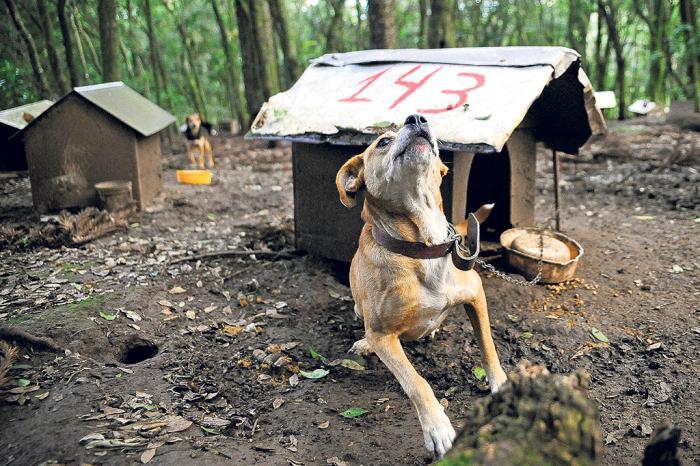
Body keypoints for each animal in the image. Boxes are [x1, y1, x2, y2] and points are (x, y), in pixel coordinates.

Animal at [336, 114, 506, 456]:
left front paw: (500, 383)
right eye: (383, 142)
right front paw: (437, 427)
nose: (416, 118)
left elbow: (488, 345)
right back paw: (364, 344)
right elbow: (417, 382)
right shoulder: (383, 335)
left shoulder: (476, 295)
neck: (422, 246)